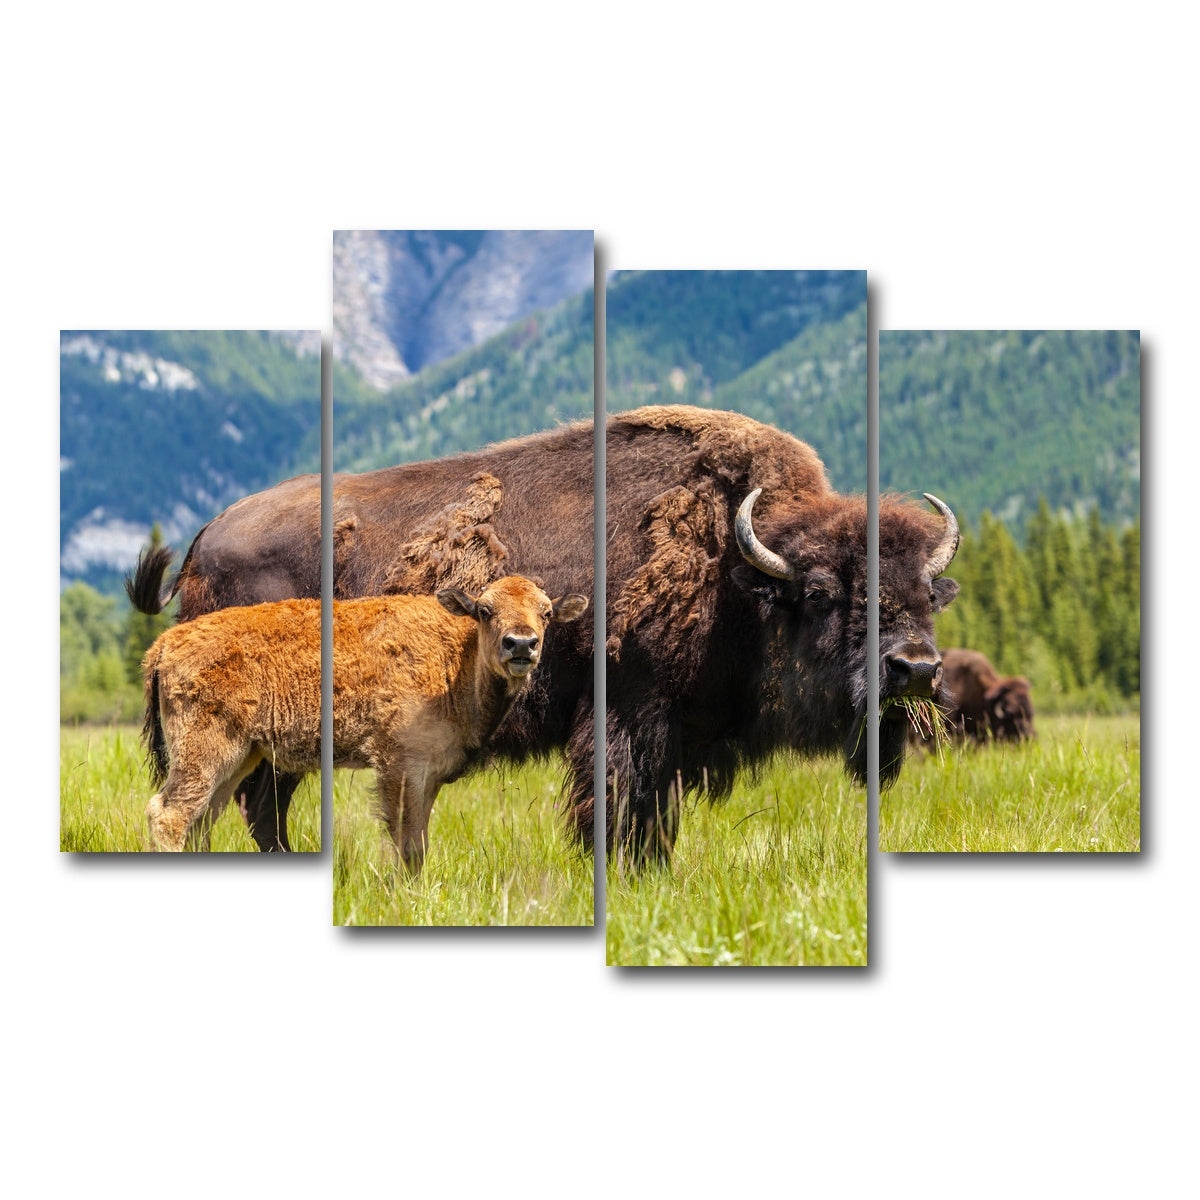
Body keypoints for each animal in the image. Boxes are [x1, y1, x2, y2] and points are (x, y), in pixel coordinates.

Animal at [142, 575, 587, 858]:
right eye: (484, 610)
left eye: (546, 613)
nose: (521, 644)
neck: (456, 658)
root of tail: (164, 644)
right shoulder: (399, 765)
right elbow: (406, 842)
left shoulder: (429, 773)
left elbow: (419, 840)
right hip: (204, 753)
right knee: (170, 815)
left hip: (238, 757)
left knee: (201, 819)